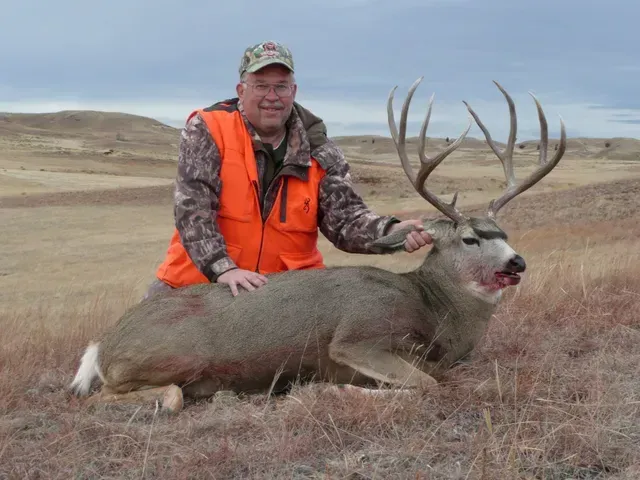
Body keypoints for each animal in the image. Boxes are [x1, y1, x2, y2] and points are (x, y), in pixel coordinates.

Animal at [69, 77, 566, 412]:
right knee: (117, 396)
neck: (433, 311)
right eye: (469, 238)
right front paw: (333, 389)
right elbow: (426, 385)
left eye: (505, 234)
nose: (517, 262)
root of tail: (104, 342)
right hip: (171, 355)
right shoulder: (357, 337)